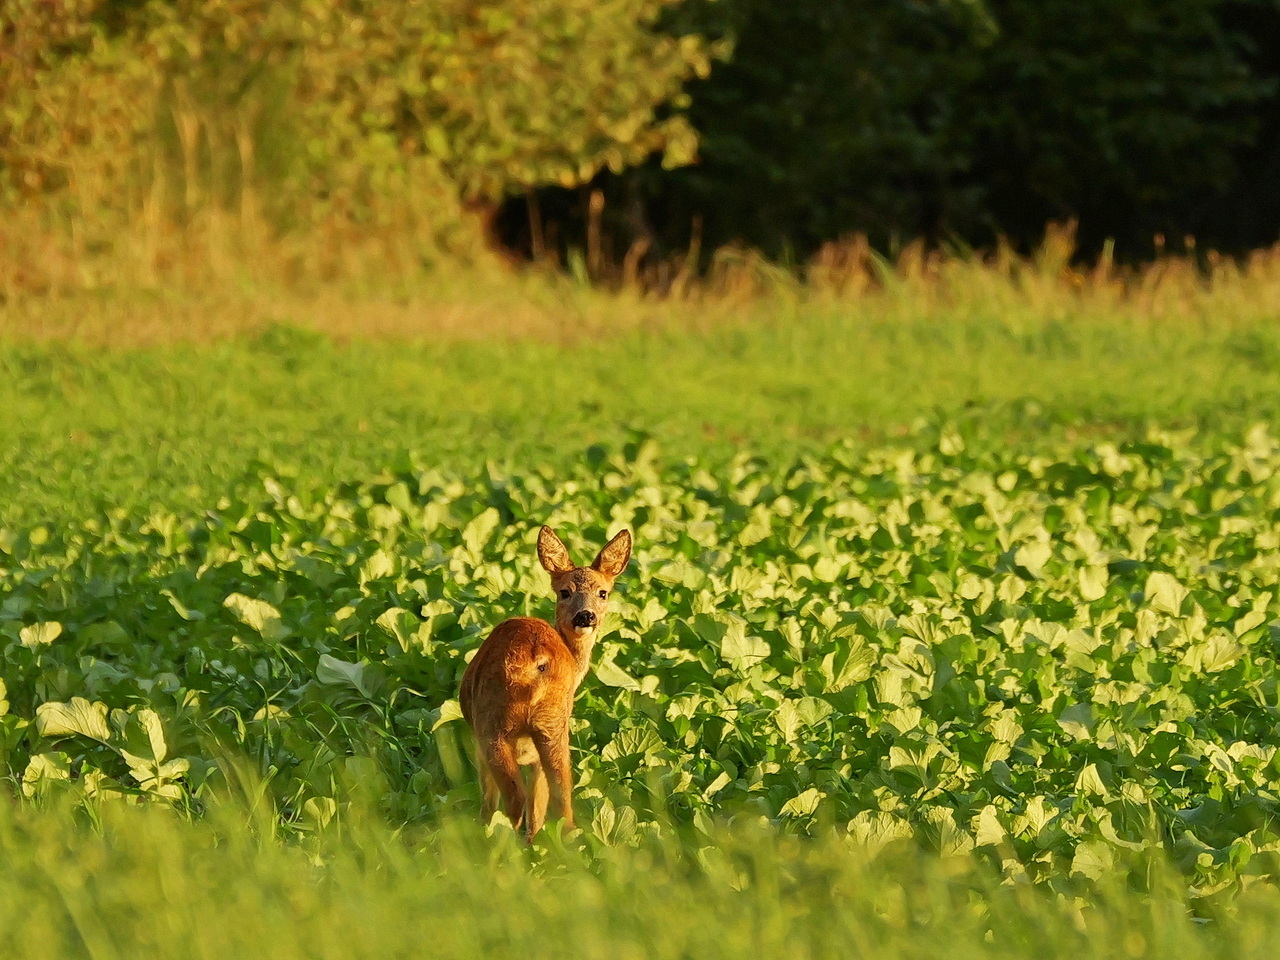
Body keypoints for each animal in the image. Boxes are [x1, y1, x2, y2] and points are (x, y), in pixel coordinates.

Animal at [458, 527, 632, 839]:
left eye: (603, 592)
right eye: (565, 591)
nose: (585, 616)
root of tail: (534, 657)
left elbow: (493, 798)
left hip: (494, 725)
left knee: (518, 799)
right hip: (552, 724)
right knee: (561, 797)